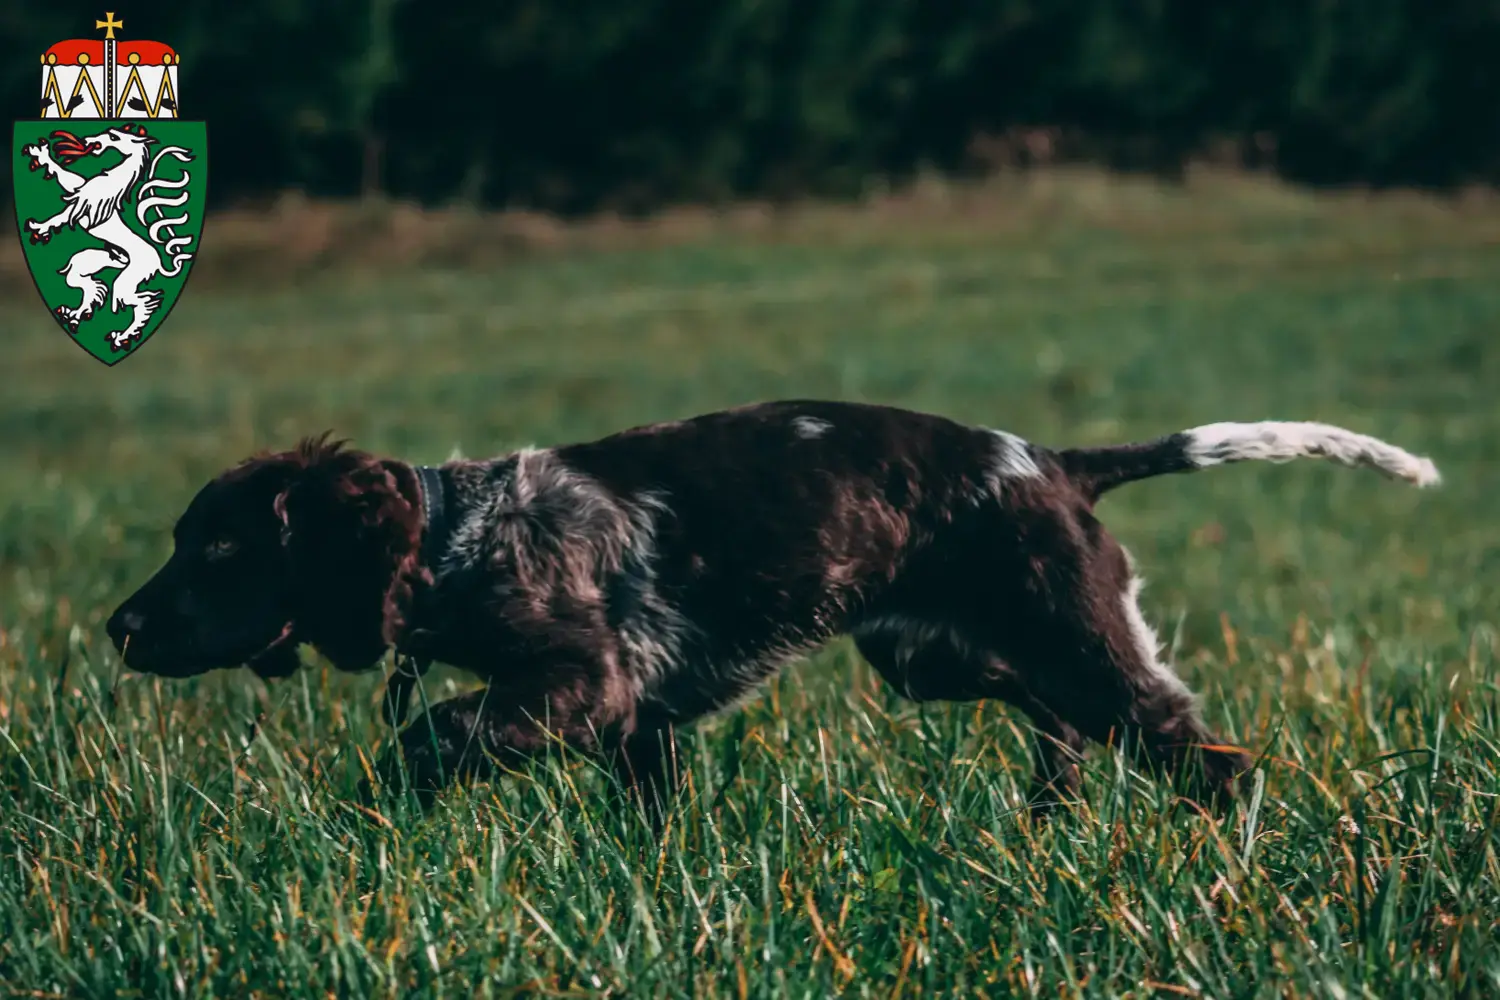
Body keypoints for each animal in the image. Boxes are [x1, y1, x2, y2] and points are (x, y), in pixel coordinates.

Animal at [105, 401, 1440, 821]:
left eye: (215, 546)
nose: (115, 628)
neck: (456, 537)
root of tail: (1057, 464)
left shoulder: (582, 681)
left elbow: (435, 732)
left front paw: (377, 811)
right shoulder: (636, 726)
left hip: (1076, 646)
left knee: (1211, 759)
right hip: (937, 653)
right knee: (1062, 725)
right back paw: (1045, 819)